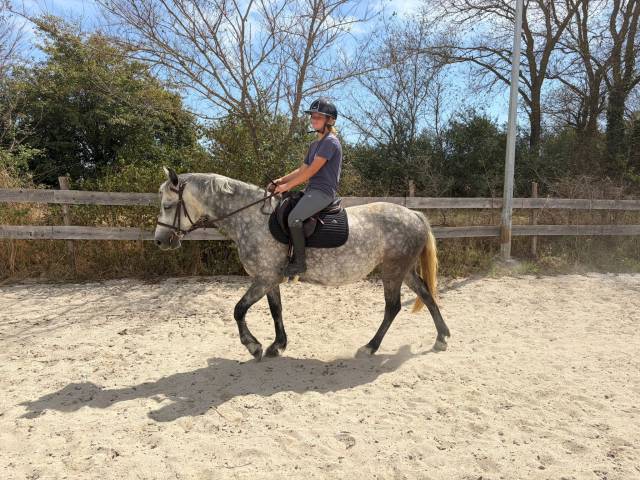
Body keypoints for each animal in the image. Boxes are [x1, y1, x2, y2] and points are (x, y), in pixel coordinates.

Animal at [154, 167, 450, 360]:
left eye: (167, 206)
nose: (159, 241)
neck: (252, 218)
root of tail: (413, 213)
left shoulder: (263, 278)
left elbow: (238, 310)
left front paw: (253, 346)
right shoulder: (269, 279)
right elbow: (276, 310)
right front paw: (277, 345)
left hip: (393, 271)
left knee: (393, 307)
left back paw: (371, 346)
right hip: (404, 270)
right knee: (427, 295)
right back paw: (441, 338)